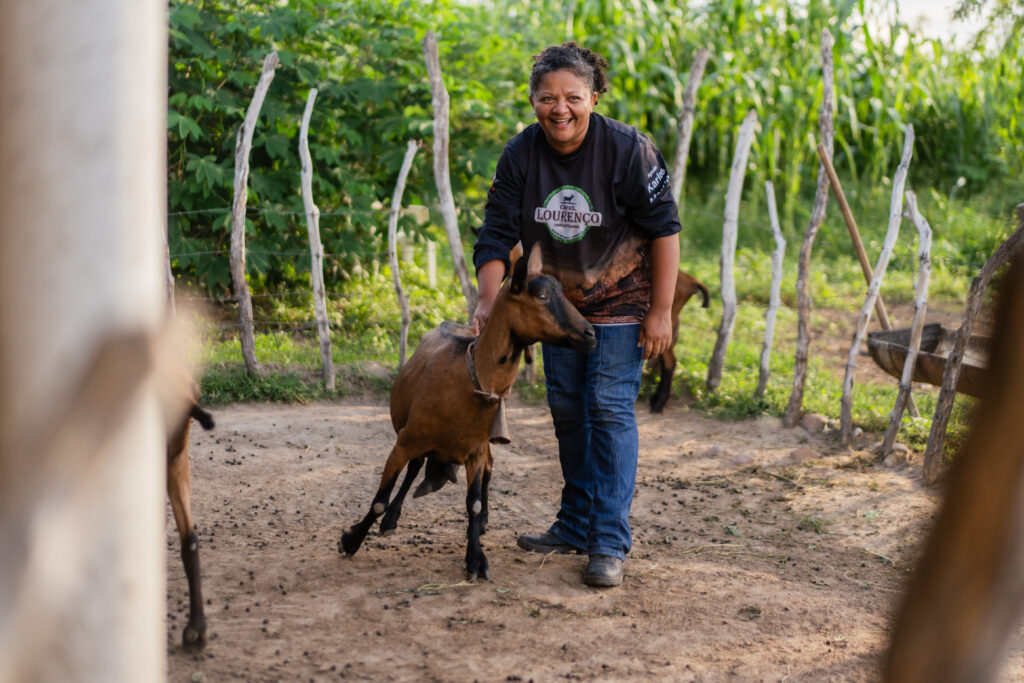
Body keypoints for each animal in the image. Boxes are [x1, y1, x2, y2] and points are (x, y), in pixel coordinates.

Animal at [338, 243, 596, 580]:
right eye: (541, 296)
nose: (590, 334)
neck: (469, 380)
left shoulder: (475, 450)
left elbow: (472, 502)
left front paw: (475, 558)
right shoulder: (404, 442)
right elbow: (380, 500)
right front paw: (352, 539)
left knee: (483, 468)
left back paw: (479, 521)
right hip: (413, 437)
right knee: (414, 468)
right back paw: (391, 519)